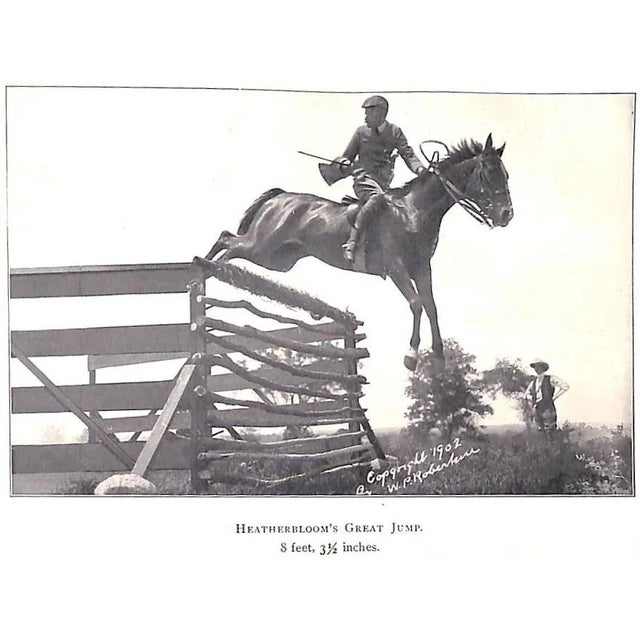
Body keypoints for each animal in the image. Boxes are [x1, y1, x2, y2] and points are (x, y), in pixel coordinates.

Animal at [203, 134, 513, 371]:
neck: (413, 212)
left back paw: (216, 274)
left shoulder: (421, 267)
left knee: (230, 247)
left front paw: (438, 357)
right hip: (263, 246)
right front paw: (411, 356)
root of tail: (279, 197)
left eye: (506, 175)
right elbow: (416, 304)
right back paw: (204, 271)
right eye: (488, 173)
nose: (506, 214)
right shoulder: (396, 267)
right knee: (227, 239)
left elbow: (431, 307)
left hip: (278, 260)